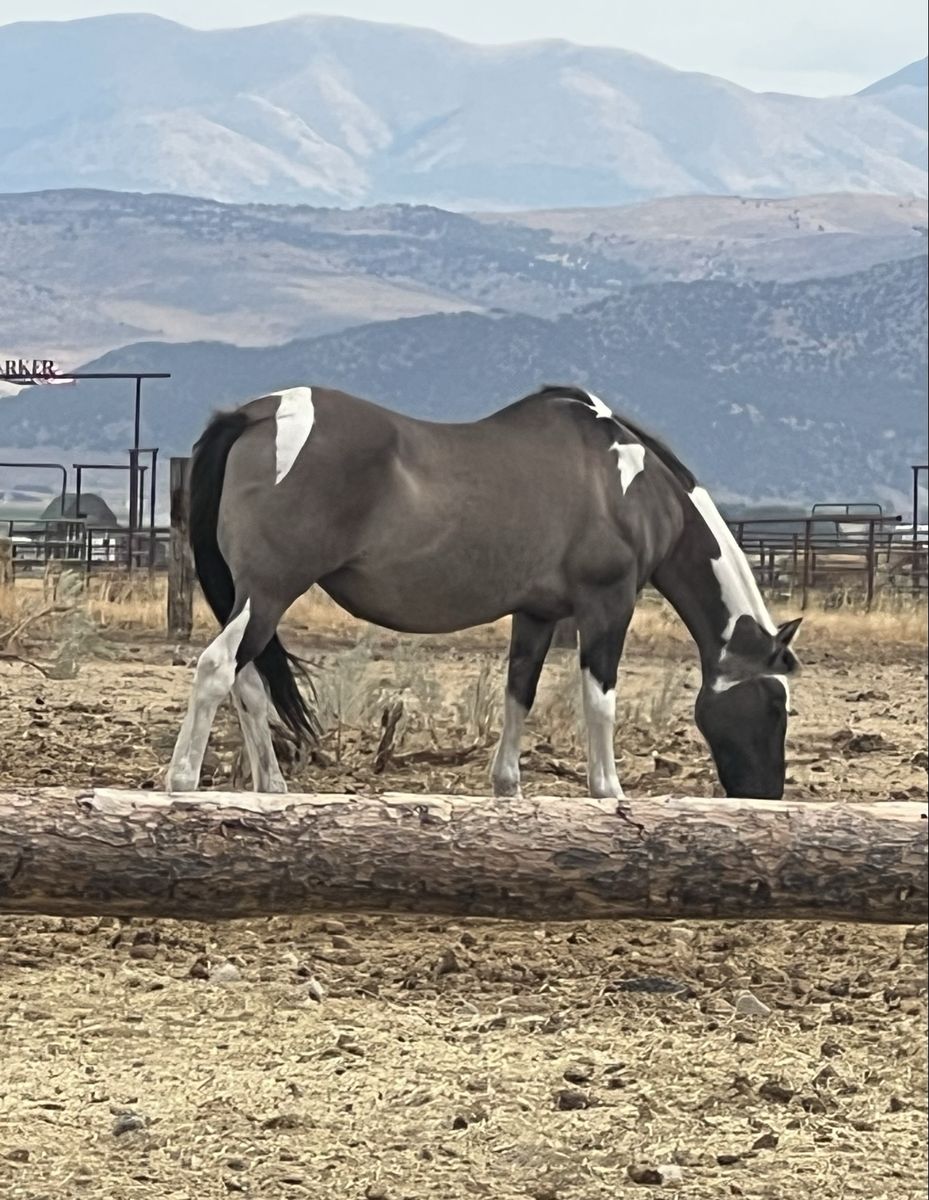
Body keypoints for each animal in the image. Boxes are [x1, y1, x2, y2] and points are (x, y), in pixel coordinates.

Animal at [166, 384, 801, 801]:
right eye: (776, 704)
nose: (767, 795)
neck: (628, 483)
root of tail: (255, 414)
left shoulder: (538, 615)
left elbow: (519, 692)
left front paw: (507, 788)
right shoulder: (607, 605)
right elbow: (600, 701)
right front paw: (609, 792)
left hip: (253, 600)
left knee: (248, 683)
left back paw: (271, 788)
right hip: (269, 593)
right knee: (217, 669)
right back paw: (181, 784)